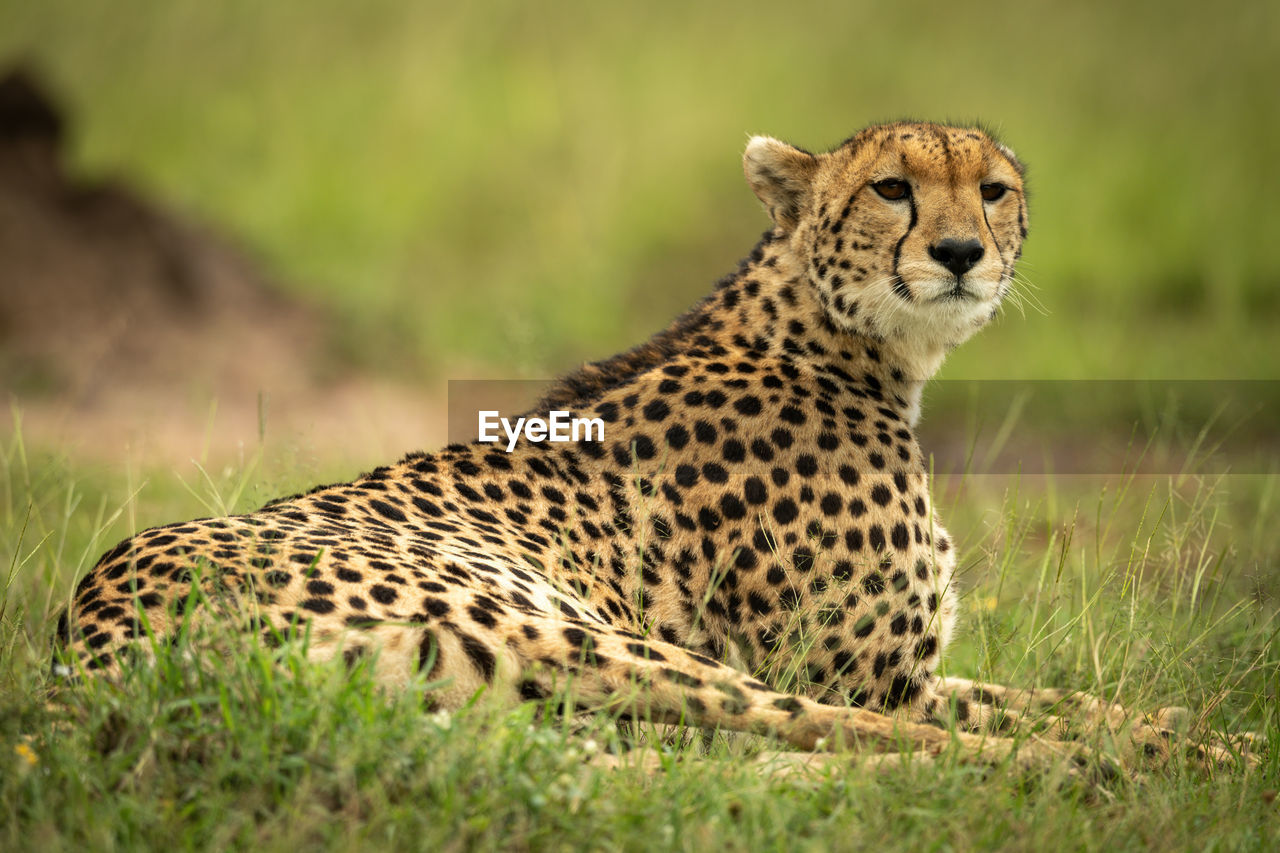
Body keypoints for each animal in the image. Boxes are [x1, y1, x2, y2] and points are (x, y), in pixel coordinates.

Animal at [55, 121, 1244, 768]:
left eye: (992, 190)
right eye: (891, 188)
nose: (960, 253)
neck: (843, 341)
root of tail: (94, 645)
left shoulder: (911, 667)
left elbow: (1057, 690)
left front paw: (1191, 725)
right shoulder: (864, 676)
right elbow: (954, 710)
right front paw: (1195, 744)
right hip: (588, 636)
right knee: (824, 733)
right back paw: (1074, 768)